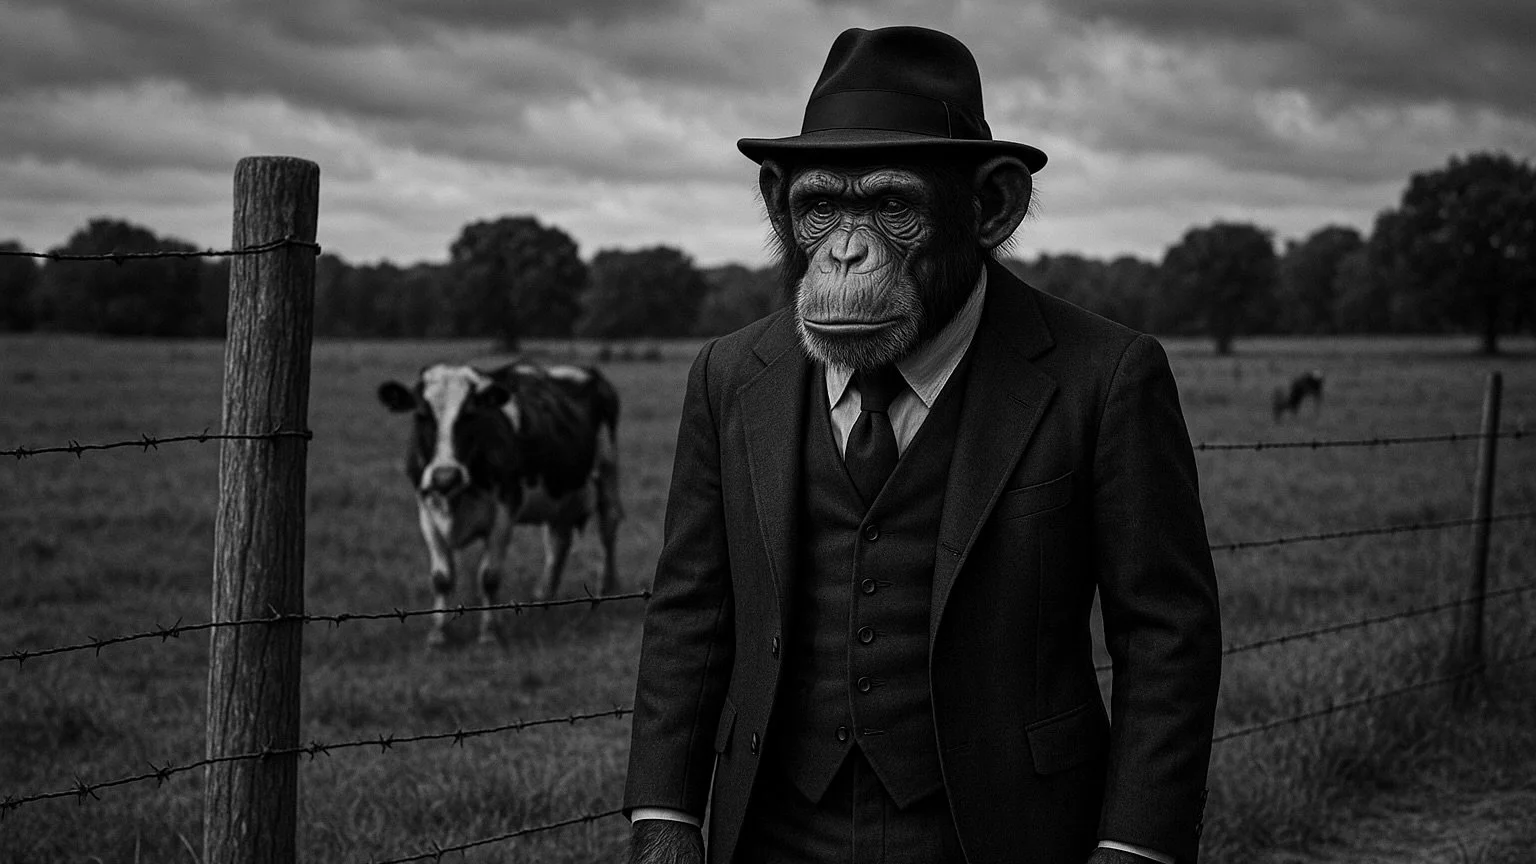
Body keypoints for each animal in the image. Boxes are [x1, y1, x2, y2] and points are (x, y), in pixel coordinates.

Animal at [377, 361, 623, 648]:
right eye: (421, 415)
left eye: (470, 414)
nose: (445, 476)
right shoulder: (426, 511)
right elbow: (441, 578)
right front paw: (438, 634)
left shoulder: (504, 511)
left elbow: (489, 577)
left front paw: (489, 632)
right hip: (560, 496)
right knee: (558, 543)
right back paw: (544, 598)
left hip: (608, 470)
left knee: (609, 525)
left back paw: (605, 589)